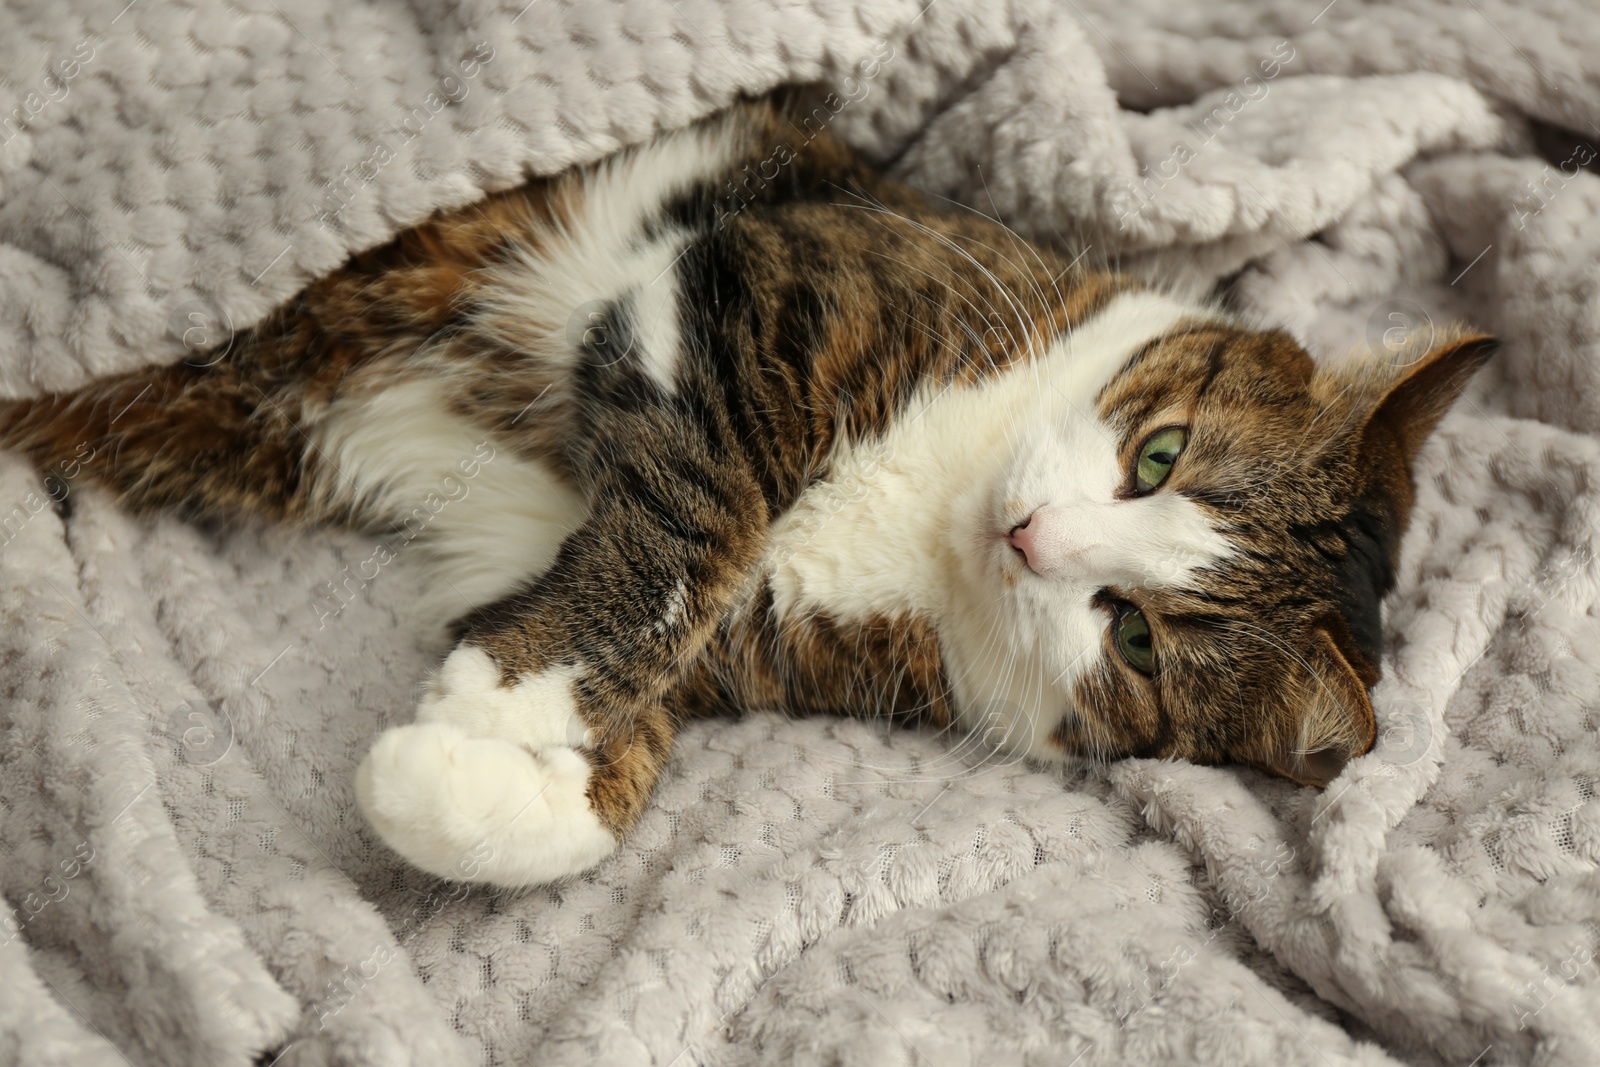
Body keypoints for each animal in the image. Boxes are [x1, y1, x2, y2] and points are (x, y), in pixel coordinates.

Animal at [3, 99, 1497, 889]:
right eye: (1161, 453)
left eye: (1134, 637)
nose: (1032, 535)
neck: (933, 512)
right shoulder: (758, 279)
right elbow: (697, 523)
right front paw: (497, 706)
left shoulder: (771, 636)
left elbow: (643, 702)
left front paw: (461, 770)